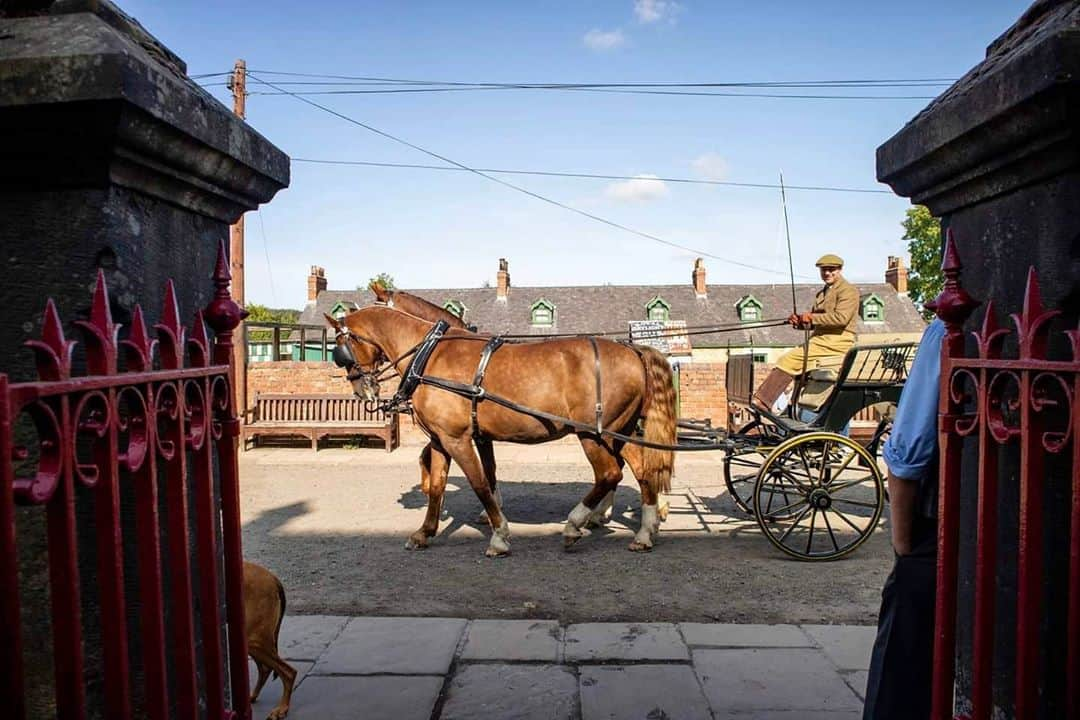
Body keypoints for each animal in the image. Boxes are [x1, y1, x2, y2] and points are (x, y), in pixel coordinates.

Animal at [244, 561, 295, 720]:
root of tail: (272, 577)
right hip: (254, 642)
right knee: (266, 668)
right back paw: (252, 697)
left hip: (256, 640)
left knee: (289, 672)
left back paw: (282, 708)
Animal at [324, 304, 673, 557]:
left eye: (339, 347)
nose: (360, 389)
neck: (429, 355)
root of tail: (632, 351)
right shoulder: (441, 440)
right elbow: (438, 485)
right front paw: (424, 533)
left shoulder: (458, 439)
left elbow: (480, 483)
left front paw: (499, 536)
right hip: (618, 432)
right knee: (642, 471)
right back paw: (645, 532)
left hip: (594, 434)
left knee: (609, 474)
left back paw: (575, 524)